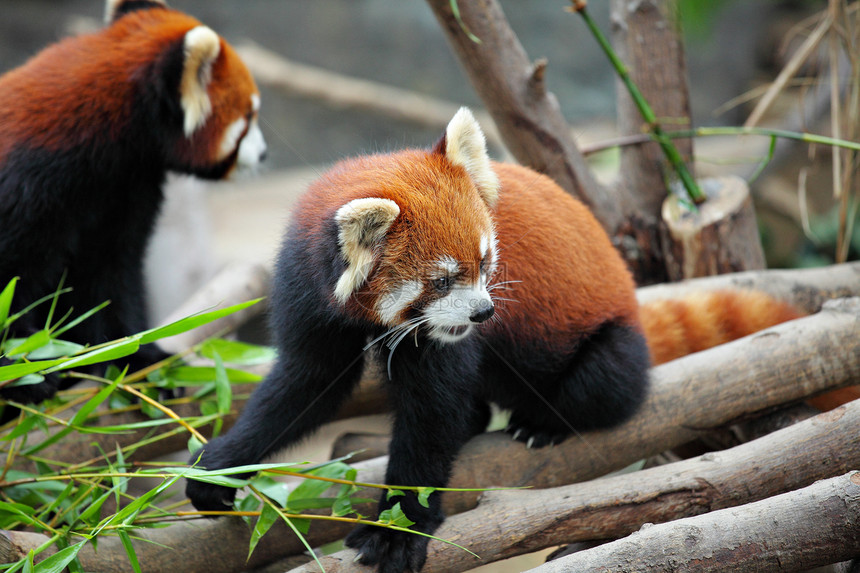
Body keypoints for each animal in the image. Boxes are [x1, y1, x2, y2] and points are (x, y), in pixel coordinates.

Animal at [0, 0, 266, 406]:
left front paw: (137, 356)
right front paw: (24, 369)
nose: (265, 153)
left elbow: (111, 278)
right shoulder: (26, 187)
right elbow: (12, 285)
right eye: (249, 116)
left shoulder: (123, 188)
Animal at [186, 108, 800, 572]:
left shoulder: (441, 339)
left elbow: (431, 417)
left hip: (613, 344)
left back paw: (542, 422)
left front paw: (400, 529)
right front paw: (221, 463)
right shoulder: (311, 300)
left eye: (485, 263)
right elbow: (303, 387)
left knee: (601, 386)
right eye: (441, 281)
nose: (484, 312)